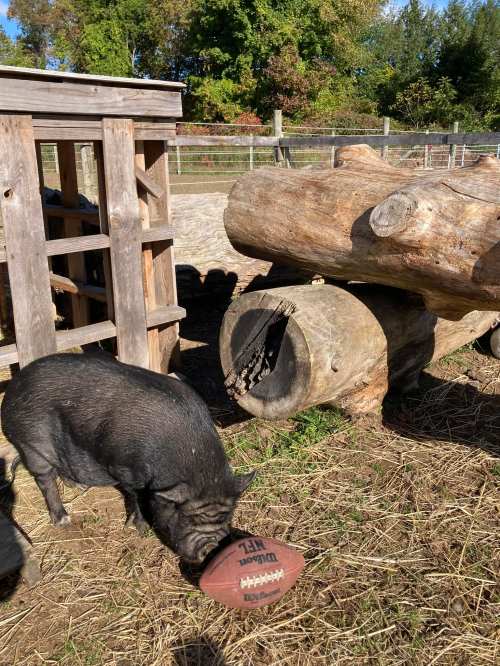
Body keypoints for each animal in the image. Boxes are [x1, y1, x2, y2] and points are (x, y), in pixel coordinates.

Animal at [1, 353, 255, 564]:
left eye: (228, 516)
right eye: (186, 518)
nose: (211, 547)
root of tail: (12, 389)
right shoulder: (124, 468)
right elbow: (135, 496)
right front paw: (139, 529)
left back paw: (80, 487)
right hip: (31, 443)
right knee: (44, 479)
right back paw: (63, 519)